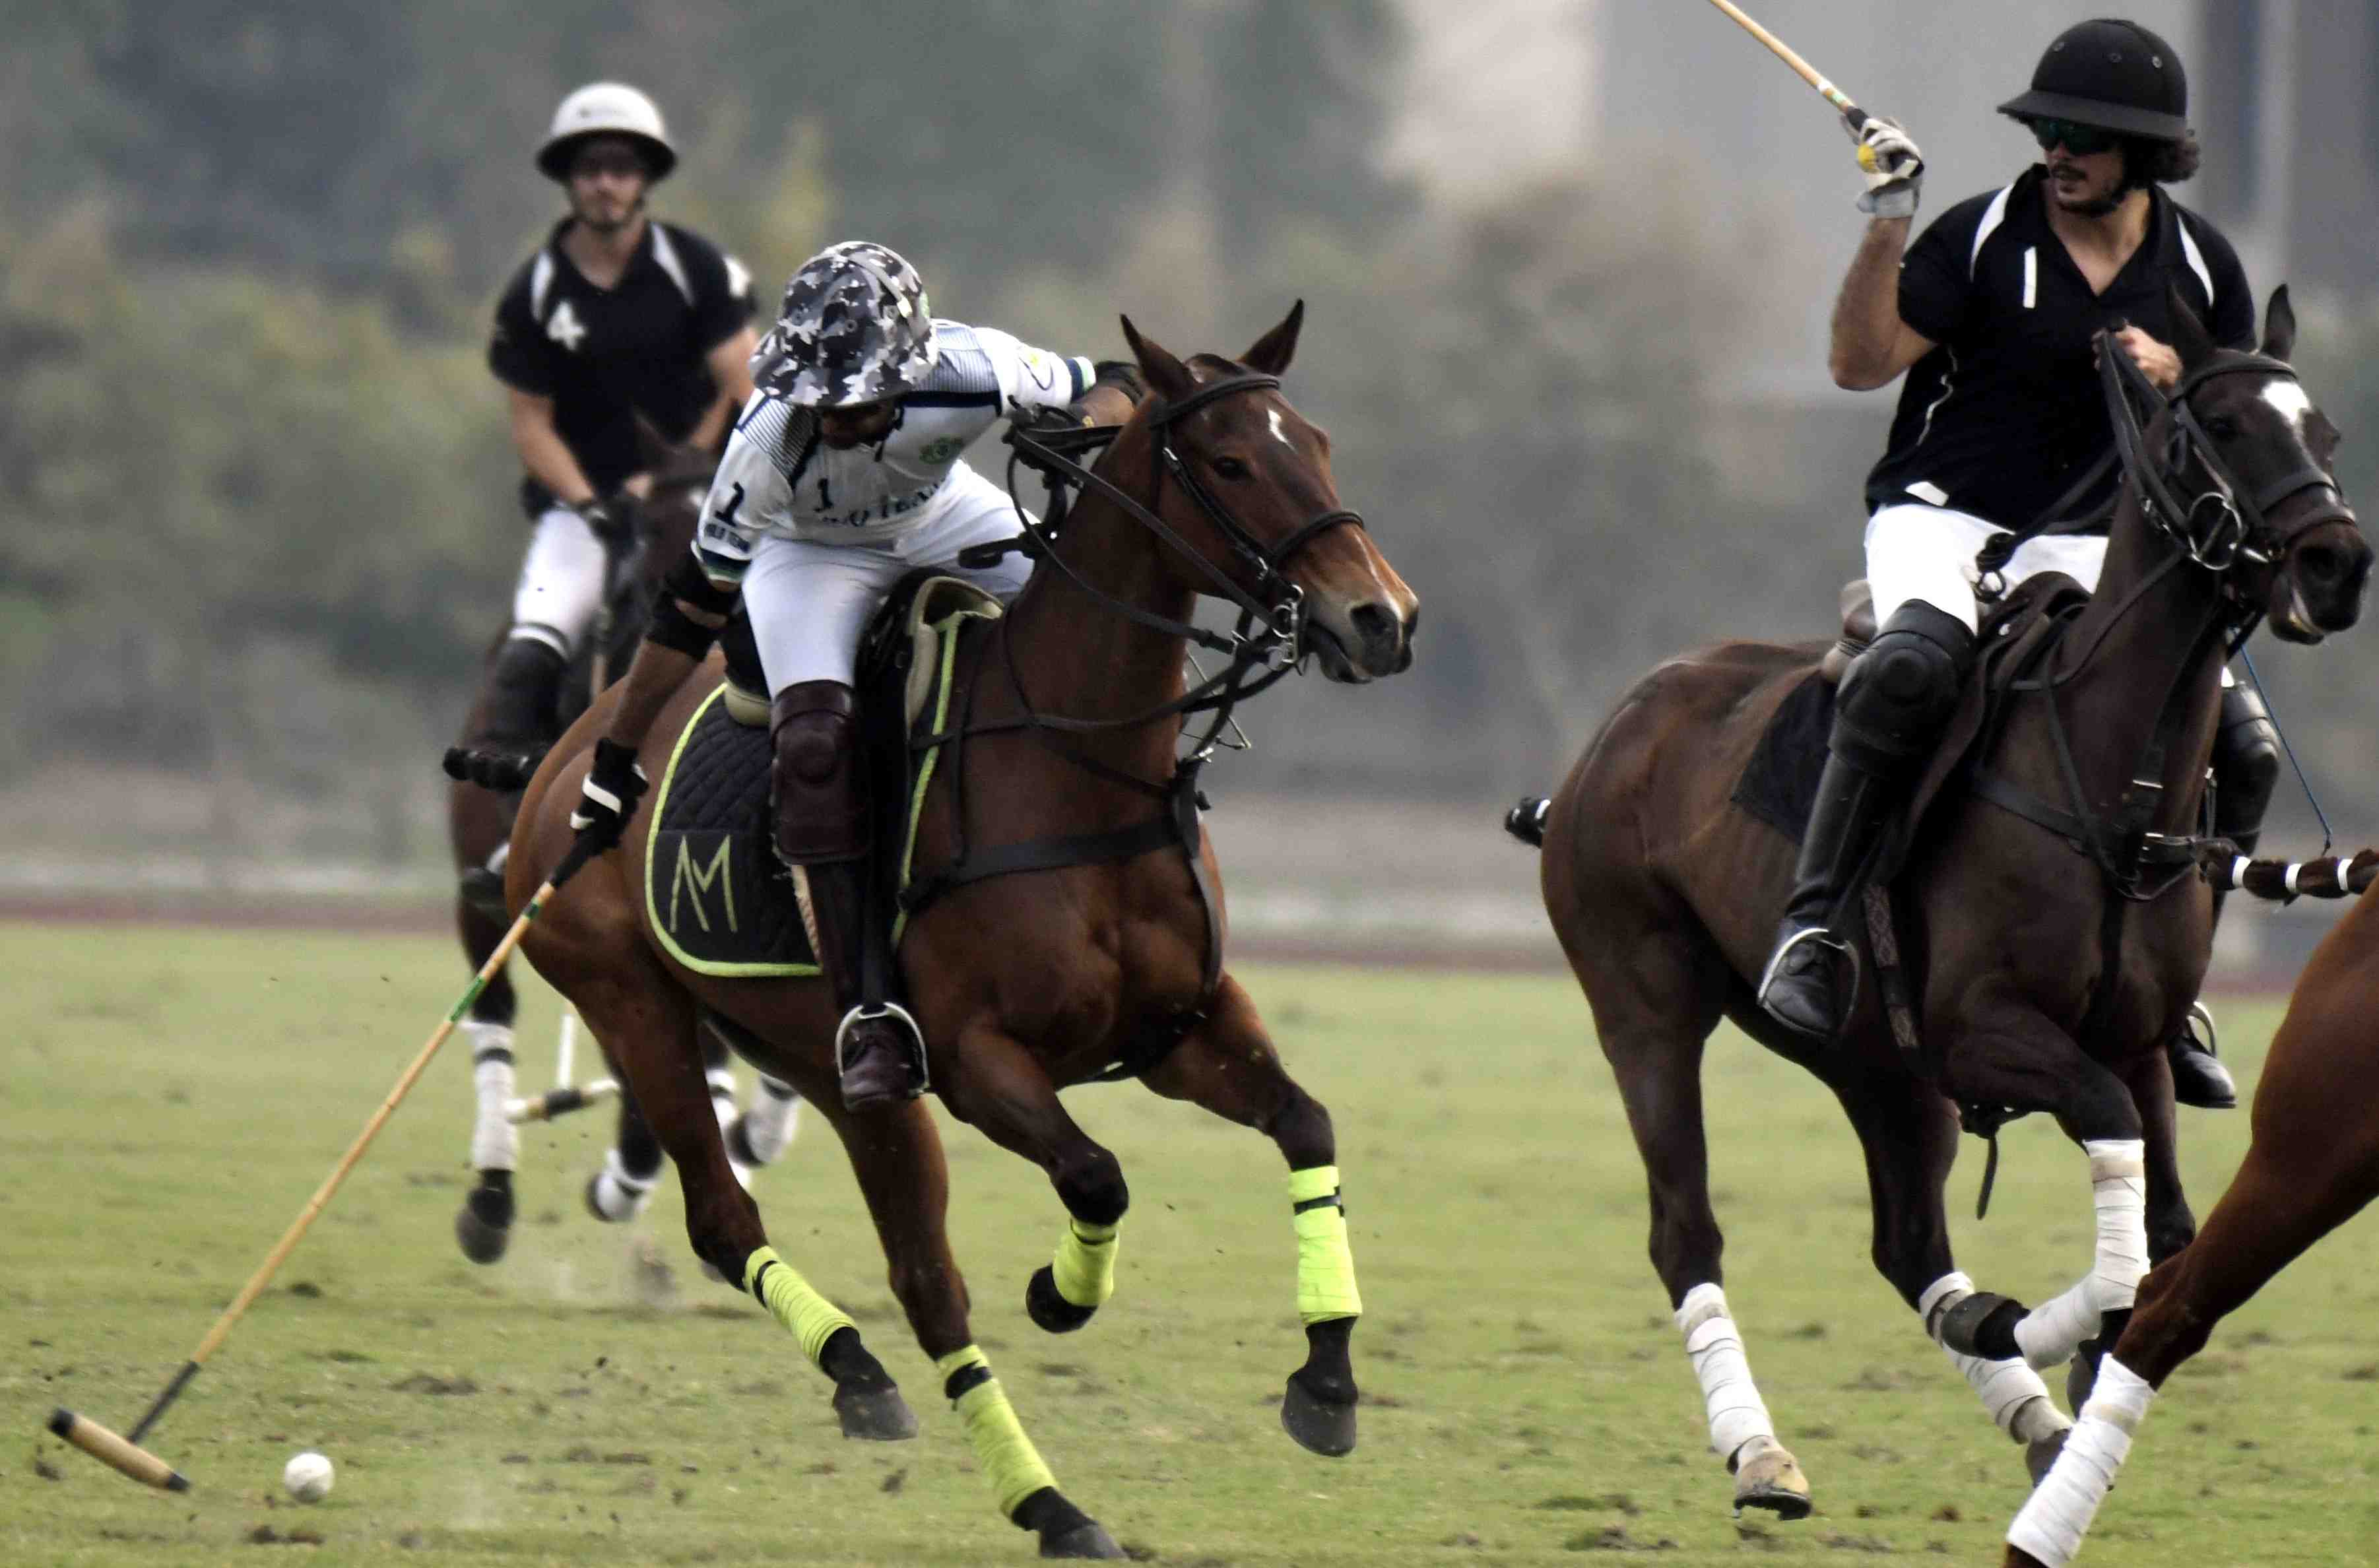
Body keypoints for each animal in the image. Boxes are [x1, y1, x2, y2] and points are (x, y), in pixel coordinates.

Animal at [497, 309, 1408, 1561]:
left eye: (1312, 442)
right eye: (1228, 463)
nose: (1381, 619)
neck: (1076, 759)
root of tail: (561, 761)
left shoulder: (1182, 1028)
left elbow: (1306, 1123)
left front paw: (1325, 1383)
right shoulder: (981, 1062)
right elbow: (1097, 1177)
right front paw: (1062, 1294)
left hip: (835, 1074)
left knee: (918, 1274)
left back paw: (985, 1462)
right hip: (636, 1012)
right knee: (734, 1222)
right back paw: (970, 1445)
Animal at [1503, 288, 2360, 1522]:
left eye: (2324, 430)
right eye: (2228, 424)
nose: (2338, 563)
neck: (2106, 777)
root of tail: (1611, 733)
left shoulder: (2135, 1038)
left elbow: (2166, 1221)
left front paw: (2080, 1349)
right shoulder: (1984, 1028)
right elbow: (2112, 1157)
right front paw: (2059, 1327)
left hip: (1877, 1061)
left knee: (1907, 1241)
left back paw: (2029, 1413)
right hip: (1648, 1011)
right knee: (1685, 1231)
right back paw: (1763, 1453)